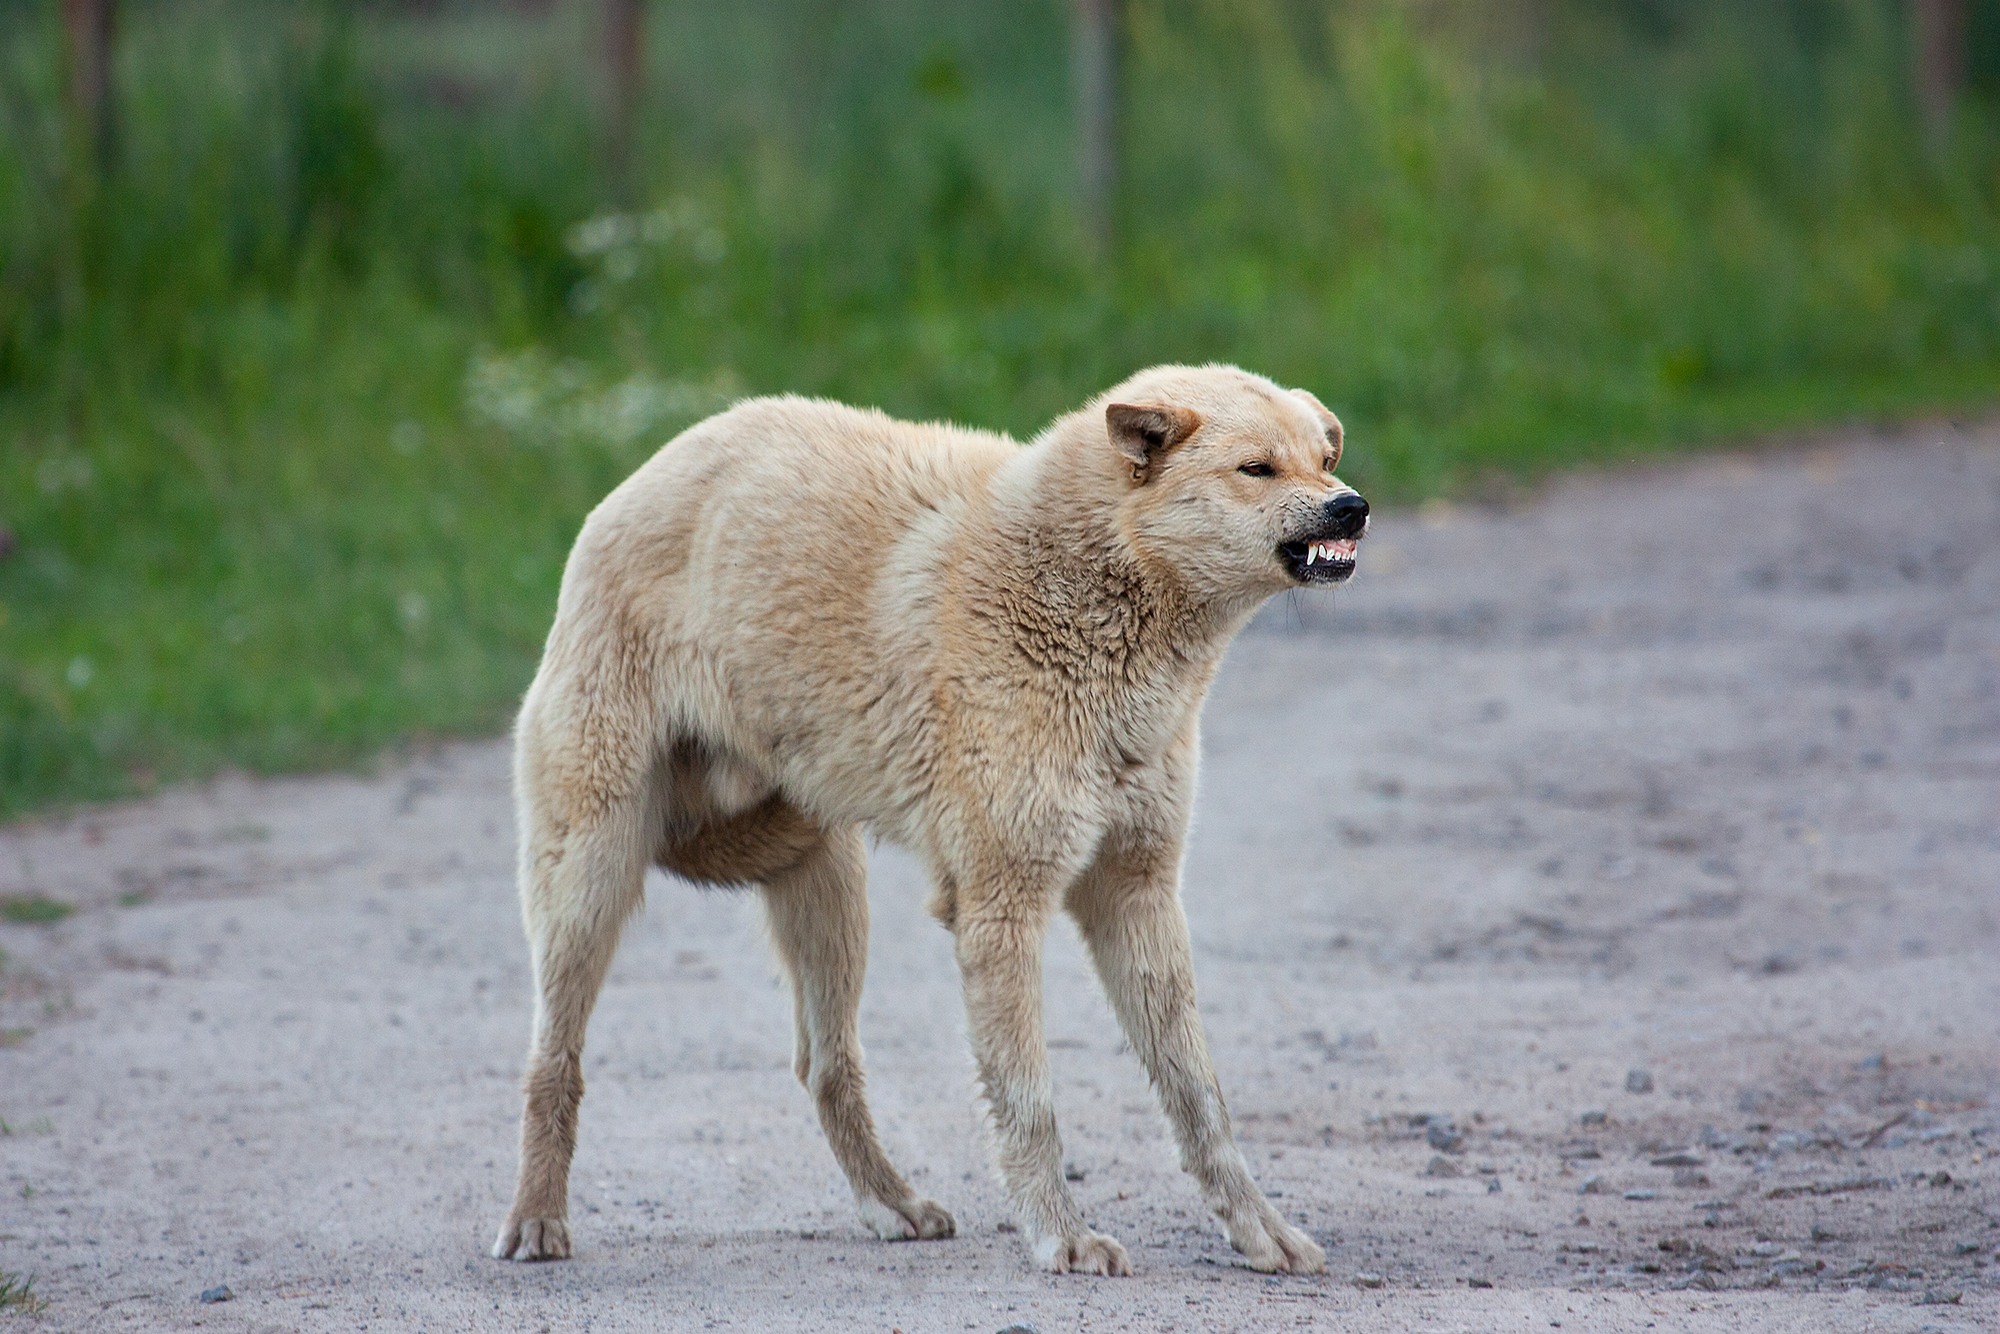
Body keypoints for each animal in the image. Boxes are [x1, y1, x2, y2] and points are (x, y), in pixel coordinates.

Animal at [494, 360, 1368, 1280]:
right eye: (1257, 469)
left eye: (1324, 458)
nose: (1353, 507)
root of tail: (629, 489)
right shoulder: (1000, 911)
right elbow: (1030, 1104)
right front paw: (1062, 1238)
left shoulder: (1137, 893)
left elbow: (1200, 1099)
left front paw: (1260, 1232)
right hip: (591, 885)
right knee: (554, 1064)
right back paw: (536, 1221)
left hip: (831, 895)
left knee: (825, 1067)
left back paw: (893, 1204)